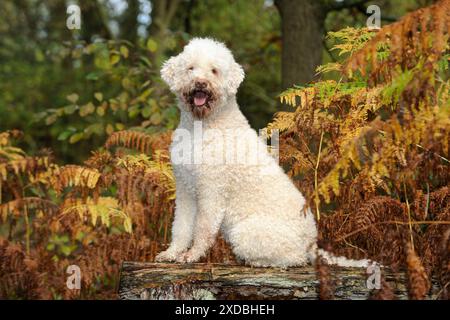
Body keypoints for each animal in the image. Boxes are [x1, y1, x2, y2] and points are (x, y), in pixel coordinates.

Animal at [155, 37, 370, 268]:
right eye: (191, 68)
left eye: (214, 70)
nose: (201, 83)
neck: (203, 126)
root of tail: (311, 242)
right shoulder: (185, 189)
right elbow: (181, 226)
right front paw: (172, 253)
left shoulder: (211, 190)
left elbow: (203, 228)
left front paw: (192, 255)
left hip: (247, 232)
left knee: (294, 259)